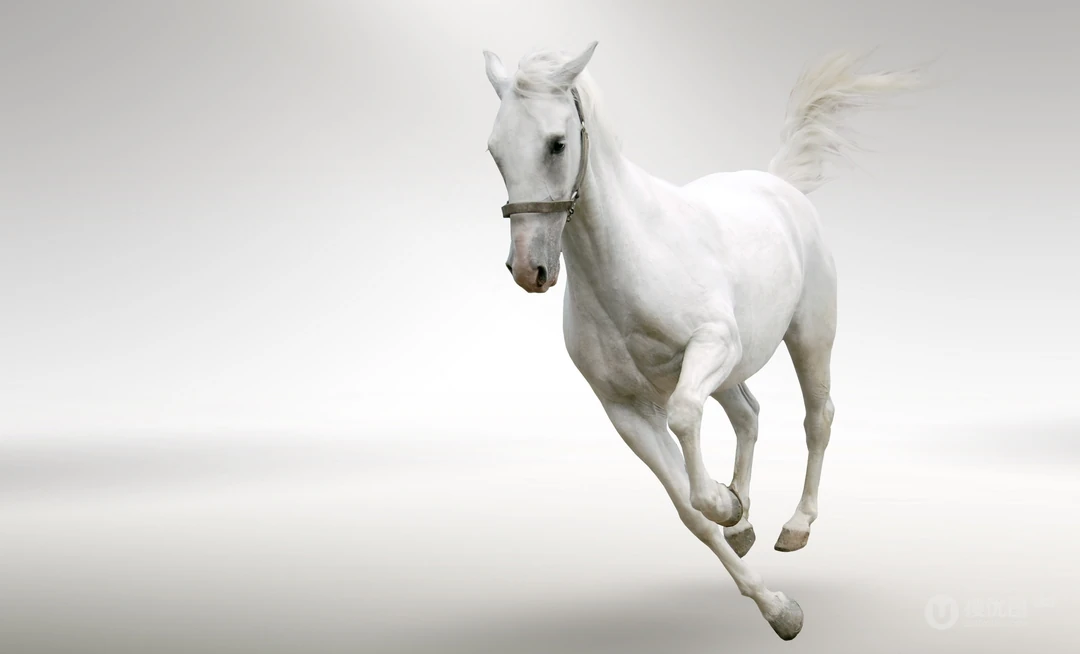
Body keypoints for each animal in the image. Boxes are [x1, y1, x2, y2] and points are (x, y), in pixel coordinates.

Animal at [482, 42, 921, 640]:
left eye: (557, 143)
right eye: (495, 151)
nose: (529, 270)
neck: (630, 258)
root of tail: (778, 184)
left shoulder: (711, 347)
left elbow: (687, 419)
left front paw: (727, 507)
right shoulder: (624, 409)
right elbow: (690, 513)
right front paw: (775, 601)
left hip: (808, 336)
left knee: (818, 418)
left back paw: (796, 525)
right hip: (735, 371)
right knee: (750, 415)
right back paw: (746, 520)